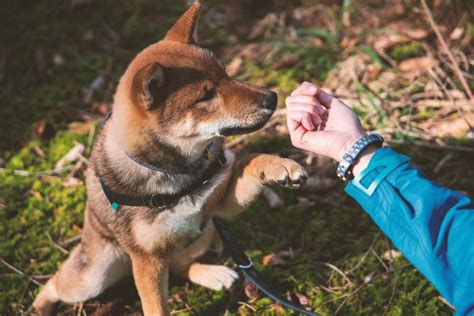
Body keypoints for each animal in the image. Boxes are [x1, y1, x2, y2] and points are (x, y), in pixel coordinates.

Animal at [33, 1, 308, 314]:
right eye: (206, 96)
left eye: (226, 75)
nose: (272, 98)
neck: (175, 172)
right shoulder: (147, 261)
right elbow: (155, 307)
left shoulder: (220, 207)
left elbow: (248, 159)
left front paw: (280, 166)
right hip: (94, 276)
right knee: (55, 283)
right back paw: (39, 307)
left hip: (204, 232)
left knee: (180, 264)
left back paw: (212, 273)